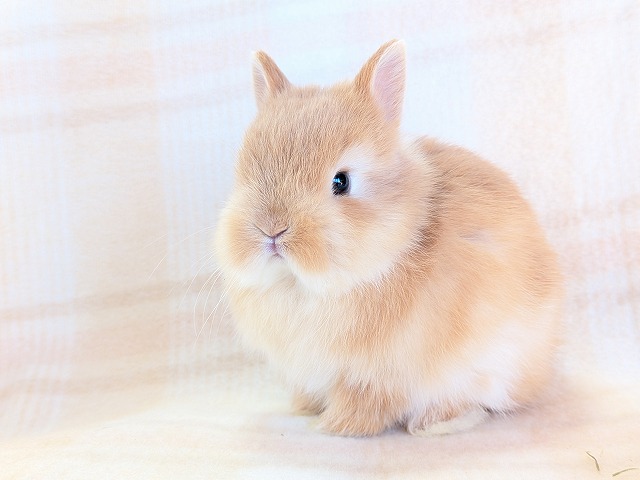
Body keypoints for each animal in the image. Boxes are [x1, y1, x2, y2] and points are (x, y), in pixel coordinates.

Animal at [214, 40, 563, 437]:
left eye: (341, 182)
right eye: (245, 171)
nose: (272, 230)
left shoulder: (375, 376)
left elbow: (364, 404)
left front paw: (330, 426)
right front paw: (305, 409)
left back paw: (434, 425)